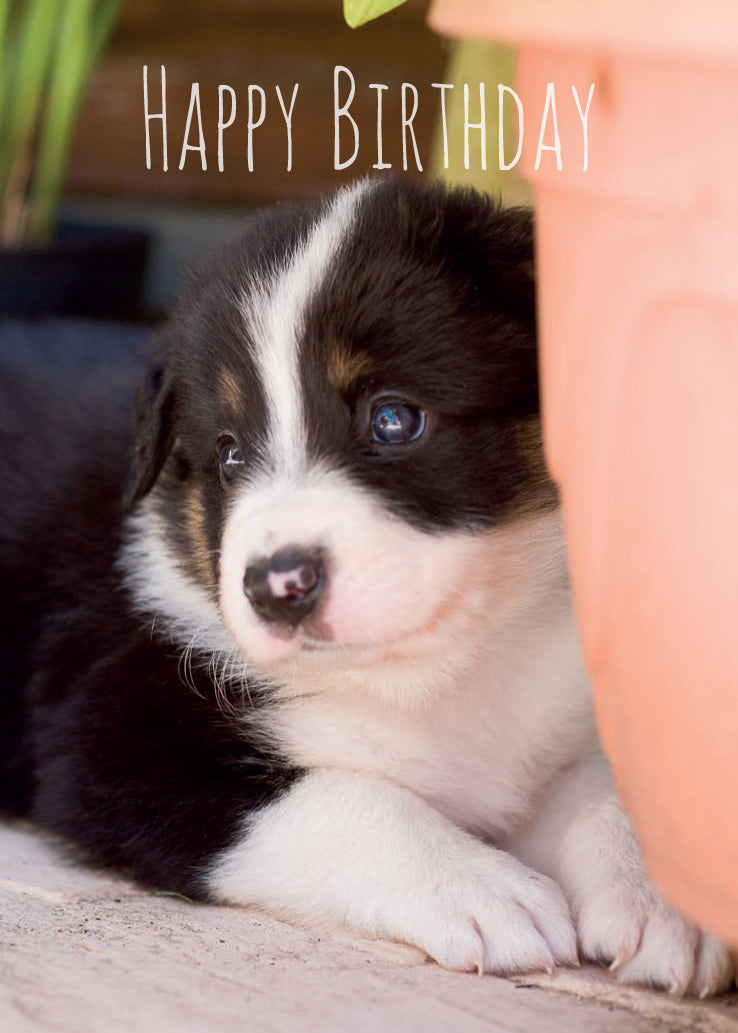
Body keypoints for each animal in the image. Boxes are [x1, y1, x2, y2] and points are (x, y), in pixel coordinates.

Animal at [0, 181, 731, 995]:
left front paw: (662, 890)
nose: (278, 584)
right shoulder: (110, 740)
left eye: (394, 419)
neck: (442, 670)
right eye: (229, 452)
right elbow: (339, 795)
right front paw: (482, 888)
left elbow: (600, 781)